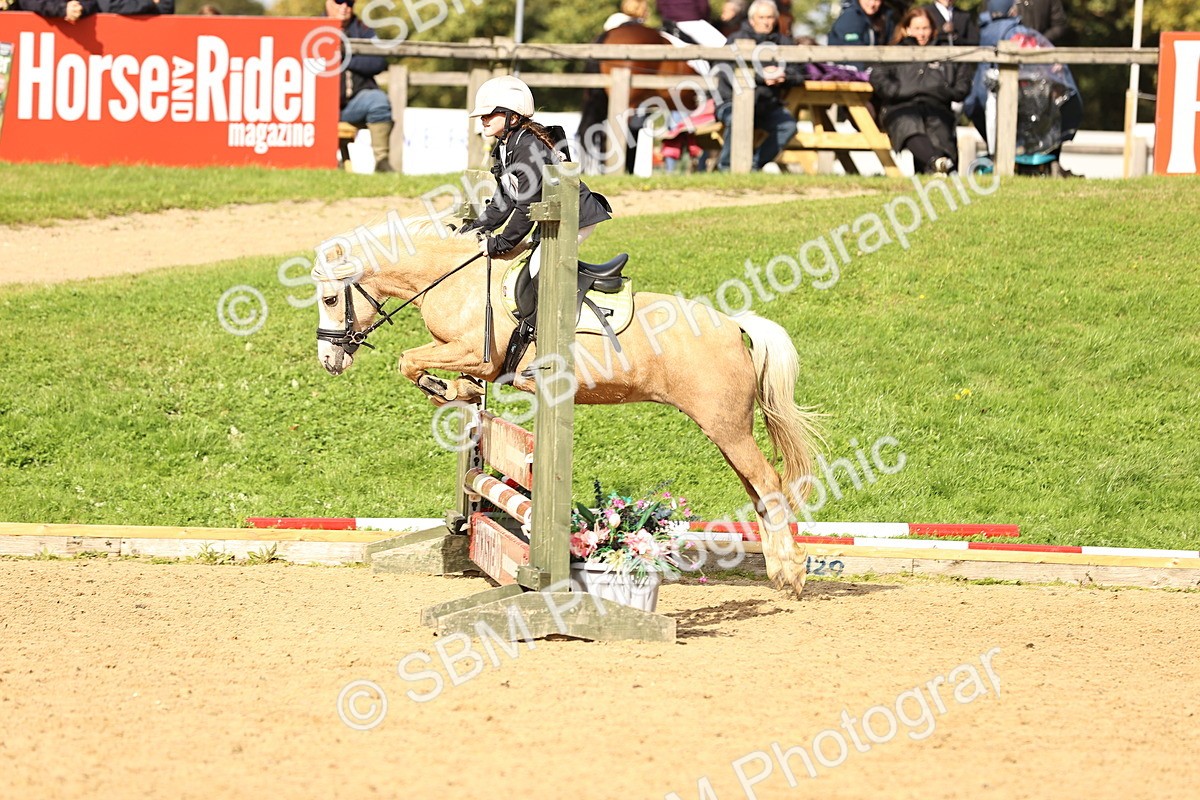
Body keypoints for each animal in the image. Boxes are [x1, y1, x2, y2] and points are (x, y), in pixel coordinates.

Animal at [311, 221, 823, 597]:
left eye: (331, 298)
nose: (330, 361)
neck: (456, 279)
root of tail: (734, 325)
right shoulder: (472, 360)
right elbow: (440, 377)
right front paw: (457, 393)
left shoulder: (477, 353)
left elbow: (409, 360)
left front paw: (440, 387)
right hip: (726, 430)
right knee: (759, 490)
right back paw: (780, 571)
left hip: (725, 426)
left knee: (768, 482)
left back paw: (794, 573)